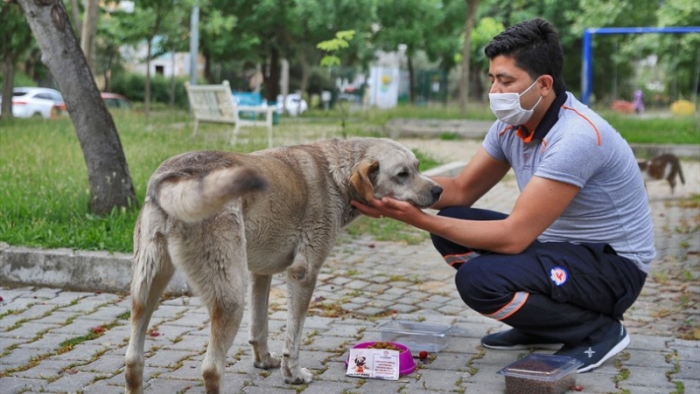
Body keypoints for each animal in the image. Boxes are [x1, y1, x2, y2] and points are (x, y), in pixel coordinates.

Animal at [123, 137, 440, 392]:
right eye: (402, 174)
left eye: (418, 166)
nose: (438, 190)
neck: (335, 173)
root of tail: (175, 178)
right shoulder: (303, 274)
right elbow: (293, 338)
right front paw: (293, 374)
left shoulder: (260, 273)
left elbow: (259, 326)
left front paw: (264, 361)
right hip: (230, 299)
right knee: (211, 370)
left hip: (147, 288)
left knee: (133, 360)